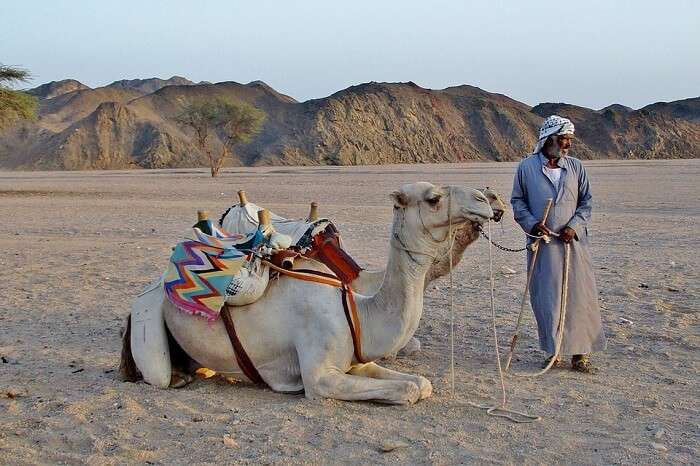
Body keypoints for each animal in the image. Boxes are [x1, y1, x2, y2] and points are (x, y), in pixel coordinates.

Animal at [123, 182, 492, 404]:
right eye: (433, 198)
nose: (485, 200)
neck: (357, 310)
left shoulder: (355, 362)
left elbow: (419, 383)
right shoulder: (320, 377)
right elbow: (408, 389)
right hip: (148, 319)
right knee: (157, 373)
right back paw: (178, 378)